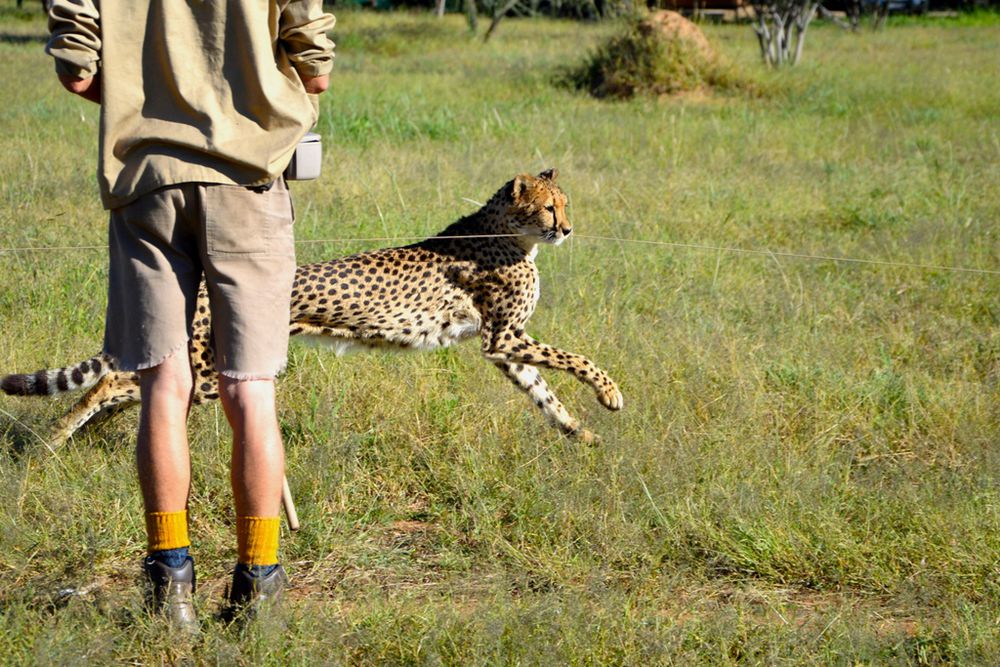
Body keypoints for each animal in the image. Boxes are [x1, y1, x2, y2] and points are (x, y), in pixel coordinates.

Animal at [2, 169, 623, 446]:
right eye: (549, 208)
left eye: (565, 204)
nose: (568, 229)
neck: (507, 233)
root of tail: (202, 284)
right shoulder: (505, 337)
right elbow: (575, 359)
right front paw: (610, 395)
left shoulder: (502, 348)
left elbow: (544, 393)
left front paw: (580, 436)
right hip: (211, 370)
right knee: (112, 384)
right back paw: (50, 442)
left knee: (129, 389)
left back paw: (70, 439)